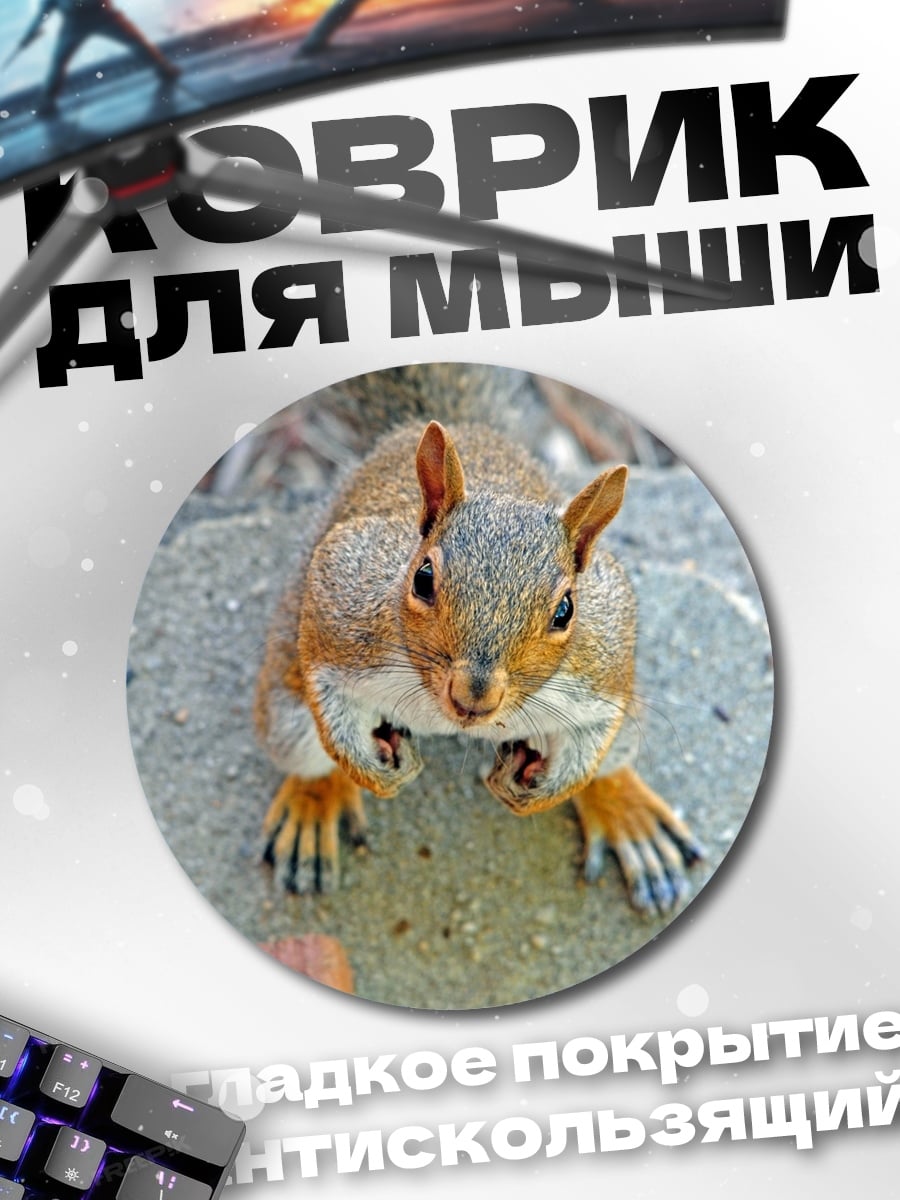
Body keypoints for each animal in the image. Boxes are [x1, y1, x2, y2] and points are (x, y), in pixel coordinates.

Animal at [254, 365, 703, 913]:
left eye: (566, 610)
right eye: (422, 578)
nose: (474, 698)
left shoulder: (603, 656)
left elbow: (594, 737)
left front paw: (548, 791)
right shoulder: (340, 596)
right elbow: (325, 692)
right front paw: (368, 770)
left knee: (613, 759)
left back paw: (630, 814)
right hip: (286, 704)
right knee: (302, 744)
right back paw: (313, 801)